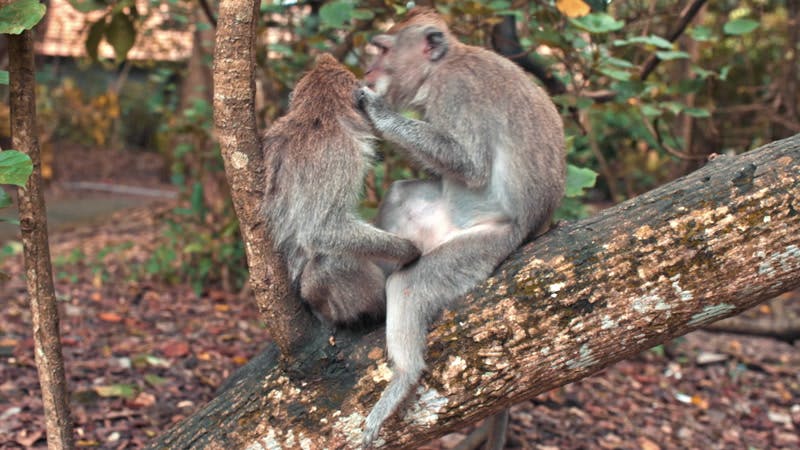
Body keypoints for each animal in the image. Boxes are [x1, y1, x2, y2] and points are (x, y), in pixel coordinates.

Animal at [264, 54, 424, 326]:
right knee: (331, 260)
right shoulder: (340, 153)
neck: (317, 114)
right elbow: (322, 229)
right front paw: (408, 249)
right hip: (321, 298)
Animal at [356, 7, 568, 446]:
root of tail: (535, 229)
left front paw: (378, 111)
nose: (368, 70)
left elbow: (469, 164)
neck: (441, 67)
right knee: (401, 196)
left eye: (382, 50)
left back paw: (405, 375)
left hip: (484, 247)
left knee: (412, 284)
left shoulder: (457, 91)